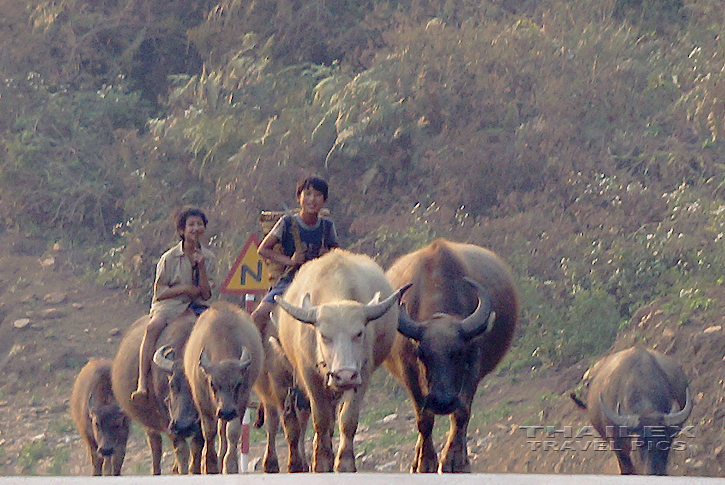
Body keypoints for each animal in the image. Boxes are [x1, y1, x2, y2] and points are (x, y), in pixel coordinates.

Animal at [110, 310, 202, 472]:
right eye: (171, 385)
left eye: (194, 386)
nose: (184, 426)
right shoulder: (167, 419)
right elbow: (182, 451)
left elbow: (197, 449)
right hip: (149, 422)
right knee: (156, 447)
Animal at [182, 302, 264, 472]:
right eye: (212, 383)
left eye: (238, 383)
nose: (226, 411)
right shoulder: (202, 401)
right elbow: (209, 432)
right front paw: (210, 464)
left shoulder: (241, 401)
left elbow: (232, 432)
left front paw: (230, 465)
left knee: (224, 431)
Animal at [274, 248, 408, 470]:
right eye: (323, 335)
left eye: (359, 333)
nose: (344, 376)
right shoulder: (309, 375)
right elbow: (321, 419)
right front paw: (321, 461)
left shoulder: (362, 374)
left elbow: (347, 418)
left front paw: (344, 463)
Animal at [384, 238, 516, 472]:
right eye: (421, 354)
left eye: (459, 353)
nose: (442, 402)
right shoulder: (409, 372)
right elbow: (424, 419)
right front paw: (425, 462)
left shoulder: (474, 366)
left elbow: (462, 413)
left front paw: (454, 460)